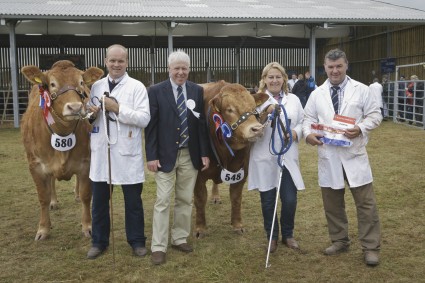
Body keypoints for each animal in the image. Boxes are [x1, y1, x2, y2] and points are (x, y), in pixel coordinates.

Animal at [21, 60, 103, 242]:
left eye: (81, 82)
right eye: (52, 84)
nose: (75, 107)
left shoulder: (86, 163)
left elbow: (87, 195)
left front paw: (87, 227)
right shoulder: (35, 166)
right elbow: (42, 197)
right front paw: (43, 229)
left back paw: (76, 195)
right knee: (51, 182)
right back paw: (54, 202)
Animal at [194, 81, 266, 239]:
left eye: (254, 109)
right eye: (229, 109)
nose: (257, 129)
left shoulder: (242, 172)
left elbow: (236, 198)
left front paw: (238, 225)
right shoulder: (197, 175)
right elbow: (200, 199)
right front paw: (200, 228)